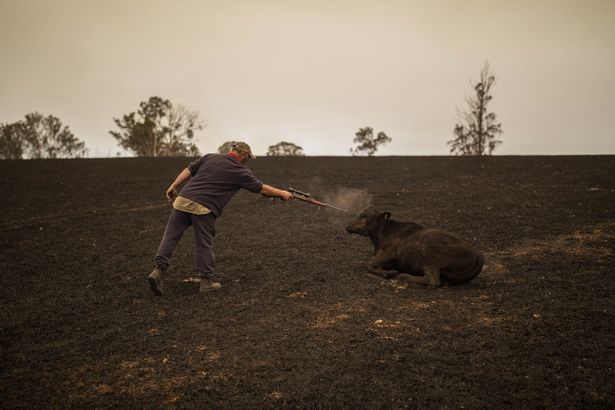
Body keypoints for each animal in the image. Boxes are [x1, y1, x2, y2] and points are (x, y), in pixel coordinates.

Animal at [344, 207, 484, 286]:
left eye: (366, 216)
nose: (348, 226)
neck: (382, 234)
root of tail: (478, 253)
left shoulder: (389, 254)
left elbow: (369, 265)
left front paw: (389, 273)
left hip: (430, 253)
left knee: (432, 280)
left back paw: (404, 276)